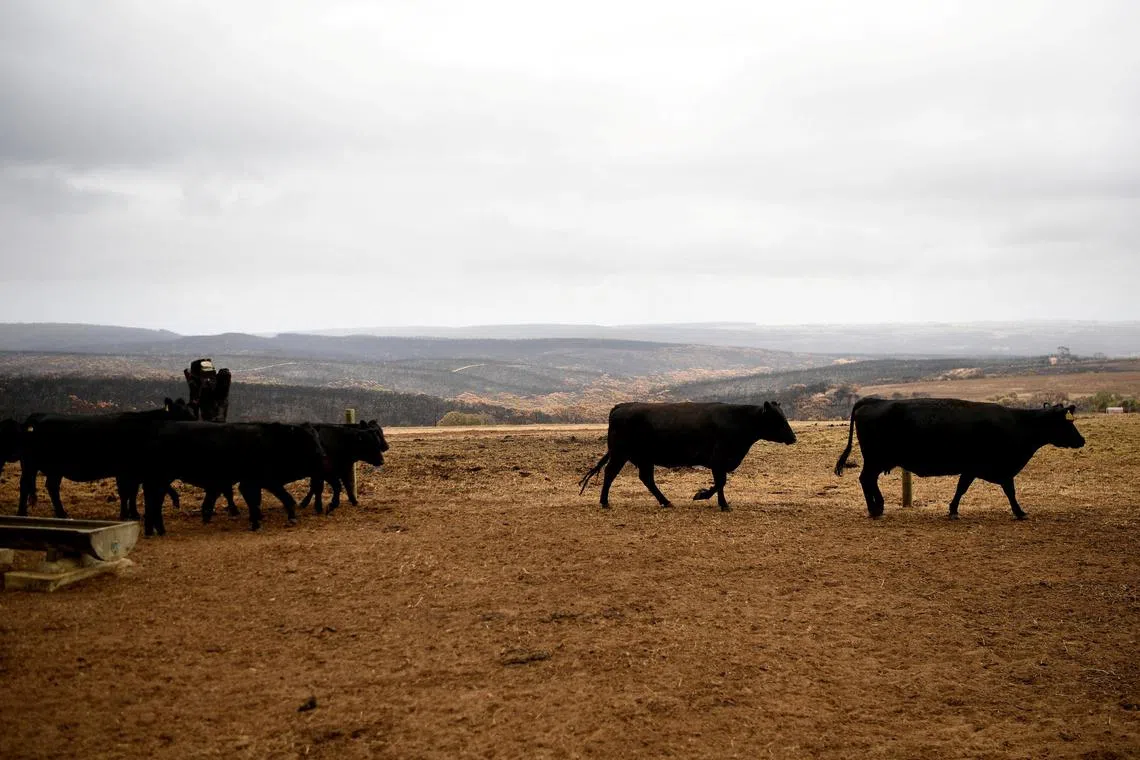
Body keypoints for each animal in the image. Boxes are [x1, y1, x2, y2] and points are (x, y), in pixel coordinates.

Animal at [16, 399, 196, 520]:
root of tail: (38, 416)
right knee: (28, 486)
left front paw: (134, 513)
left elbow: (132, 492)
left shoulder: (136, 472)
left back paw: (59, 513)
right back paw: (24, 513)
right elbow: (125, 492)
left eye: (193, 413)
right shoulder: (124, 471)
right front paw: (125, 515)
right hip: (36, 466)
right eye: (182, 414)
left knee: (48, 487)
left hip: (48, 468)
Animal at [139, 421, 327, 535]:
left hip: (159, 480)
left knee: (153, 503)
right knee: (154, 503)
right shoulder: (256, 482)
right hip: (161, 478)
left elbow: (268, 500)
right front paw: (258, 523)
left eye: (317, 437)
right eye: (306, 439)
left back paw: (155, 530)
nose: (321, 453)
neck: (272, 441)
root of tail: (155, 434)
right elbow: (273, 500)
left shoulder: (258, 482)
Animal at [578, 401, 796, 511]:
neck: (739, 420)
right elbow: (721, 482)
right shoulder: (718, 459)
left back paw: (666, 502)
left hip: (644, 458)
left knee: (646, 479)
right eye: (777, 419)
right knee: (610, 473)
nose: (793, 438)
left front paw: (711, 499)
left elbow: (720, 483)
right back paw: (604, 502)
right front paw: (713, 500)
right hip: (621, 454)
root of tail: (620, 407)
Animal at [834, 398, 1086, 519]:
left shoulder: (973, 468)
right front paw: (1020, 512)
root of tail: (874, 400)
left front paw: (953, 509)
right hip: (875, 459)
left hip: (878, 461)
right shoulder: (995, 467)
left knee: (869, 480)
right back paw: (875, 509)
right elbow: (1008, 491)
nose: (1081, 440)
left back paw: (878, 507)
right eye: (1068, 423)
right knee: (866, 479)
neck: (1018, 424)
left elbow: (961, 488)